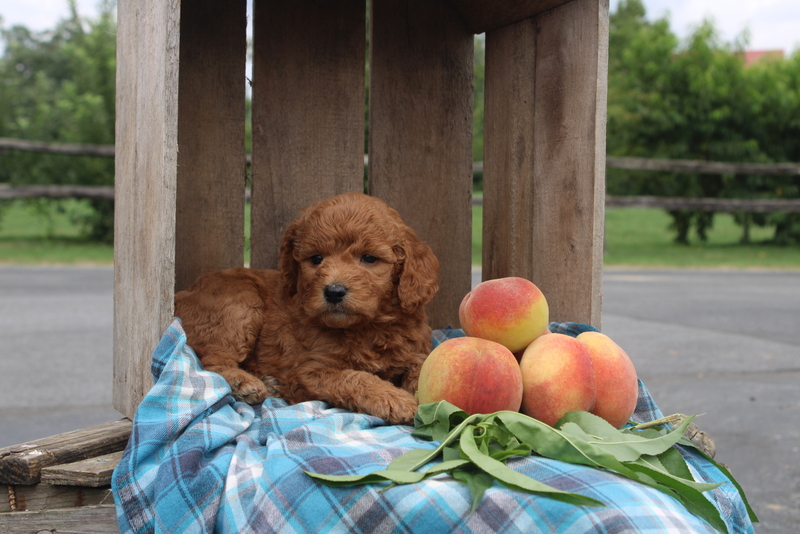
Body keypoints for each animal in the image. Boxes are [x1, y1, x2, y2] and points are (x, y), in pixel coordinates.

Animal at [173, 193, 444, 428]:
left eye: (369, 258)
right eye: (316, 259)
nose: (334, 292)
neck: (366, 327)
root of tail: (181, 294)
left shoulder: (416, 352)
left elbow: (421, 371)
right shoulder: (309, 370)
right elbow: (355, 378)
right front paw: (395, 399)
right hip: (240, 305)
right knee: (212, 361)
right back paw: (245, 384)